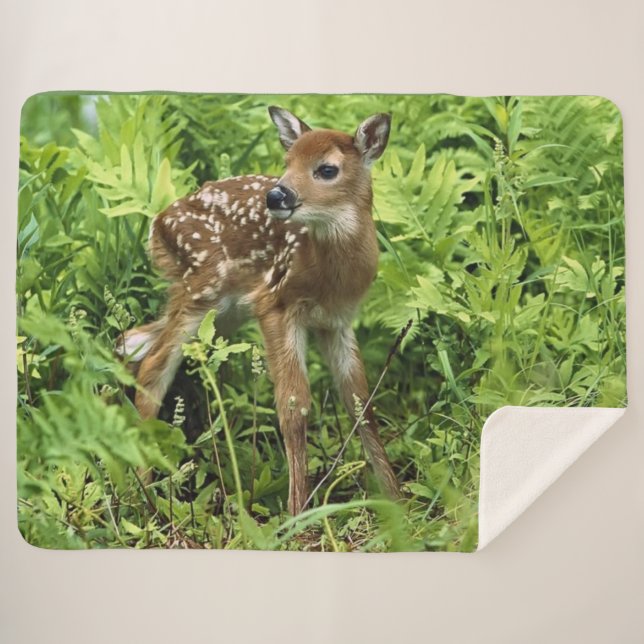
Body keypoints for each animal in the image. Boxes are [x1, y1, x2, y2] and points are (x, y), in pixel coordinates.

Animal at [117, 106, 401, 515]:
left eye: (326, 169)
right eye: (287, 161)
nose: (277, 195)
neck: (326, 276)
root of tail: (156, 224)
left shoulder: (337, 321)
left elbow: (361, 402)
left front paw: (397, 499)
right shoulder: (276, 304)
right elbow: (294, 406)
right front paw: (298, 512)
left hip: (223, 310)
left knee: (132, 341)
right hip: (202, 287)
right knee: (154, 365)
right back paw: (144, 492)